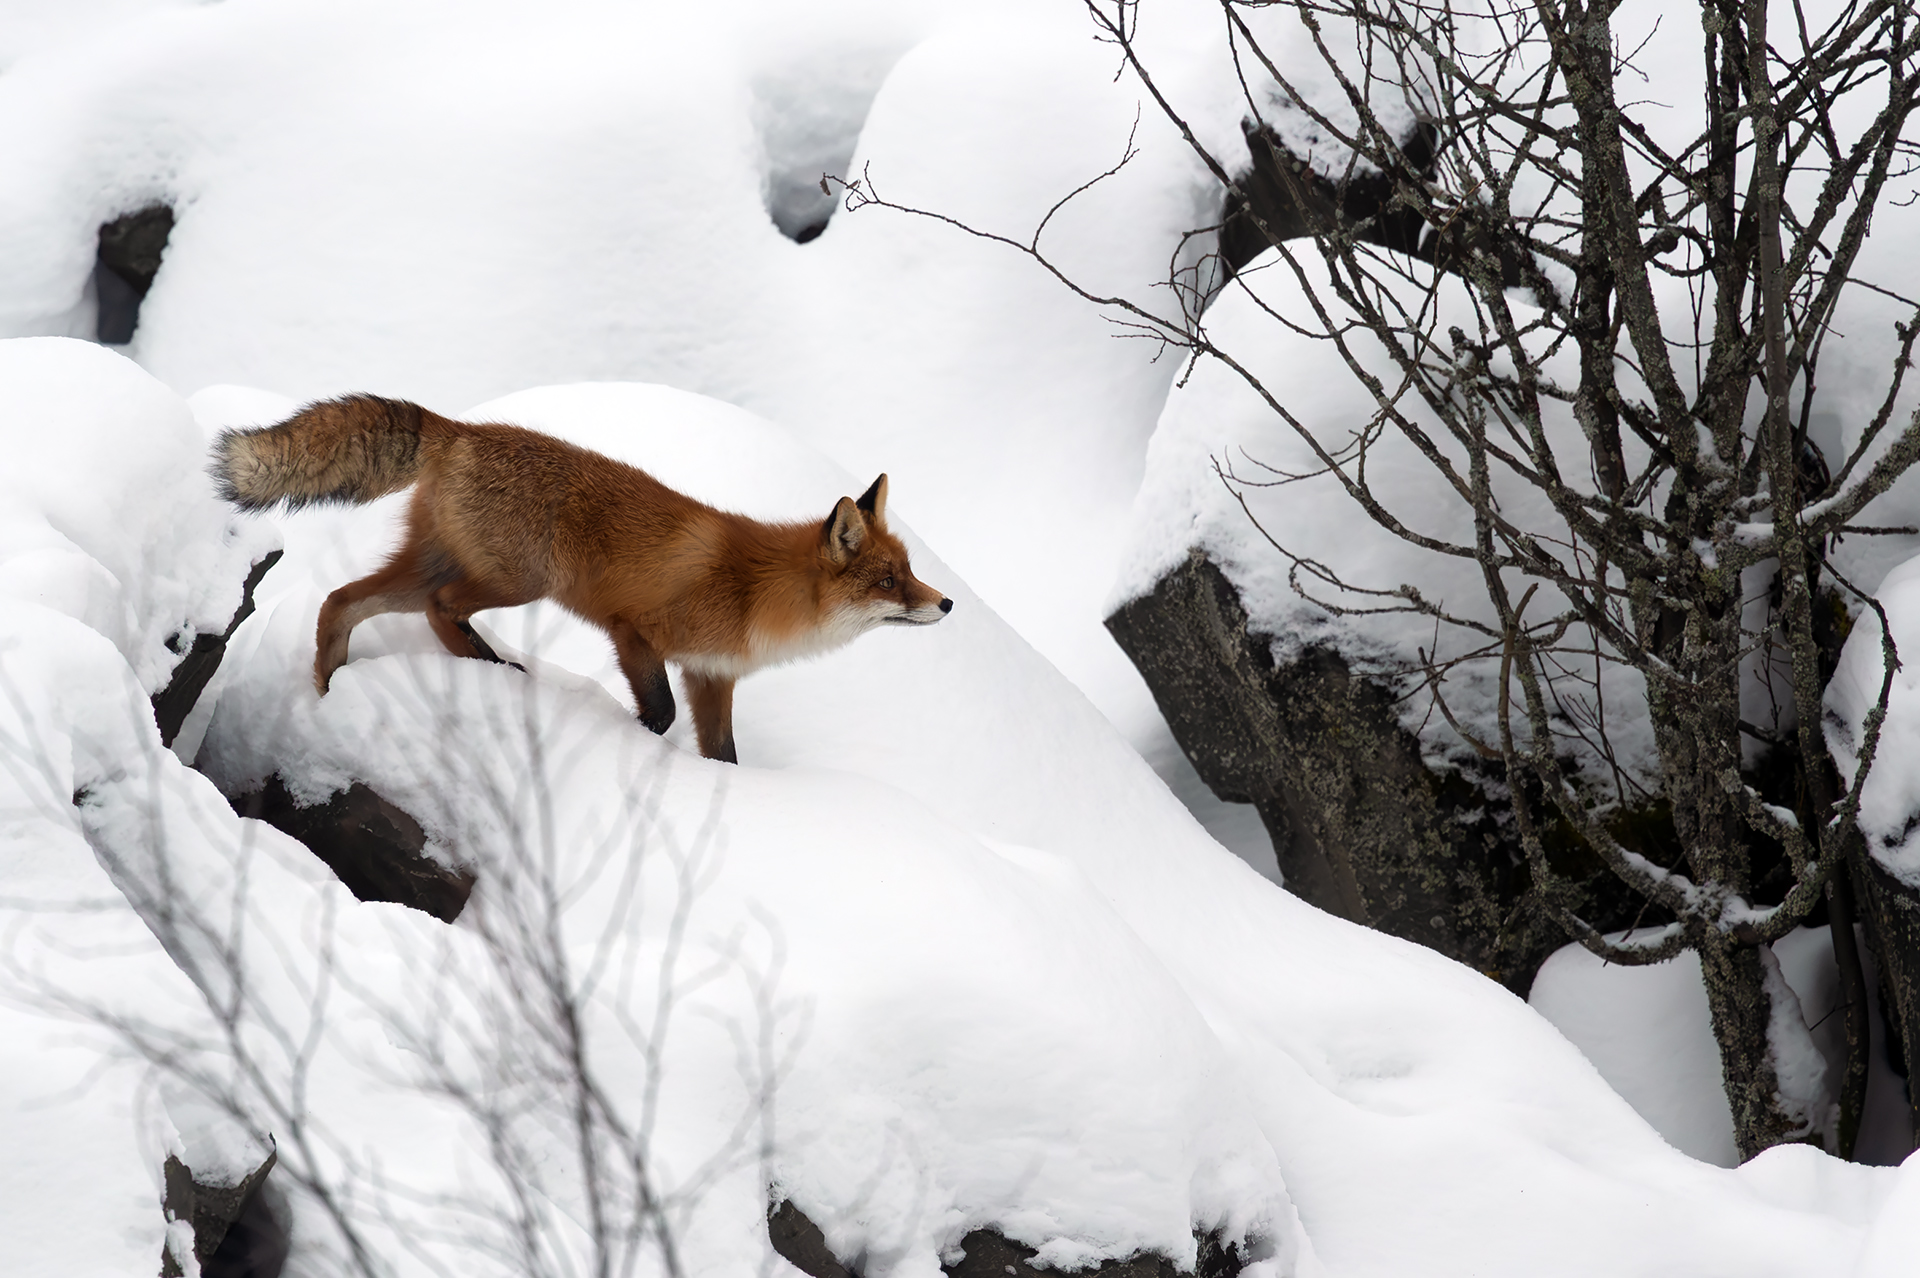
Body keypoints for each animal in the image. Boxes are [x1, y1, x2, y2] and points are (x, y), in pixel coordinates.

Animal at [212, 393, 952, 759]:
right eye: (887, 581)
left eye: (909, 571)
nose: (946, 604)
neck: (756, 591)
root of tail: (463, 430)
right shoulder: (636, 633)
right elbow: (659, 714)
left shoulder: (712, 676)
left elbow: (724, 755)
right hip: (517, 582)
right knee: (441, 608)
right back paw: (493, 669)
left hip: (432, 567)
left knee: (341, 601)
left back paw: (326, 689)